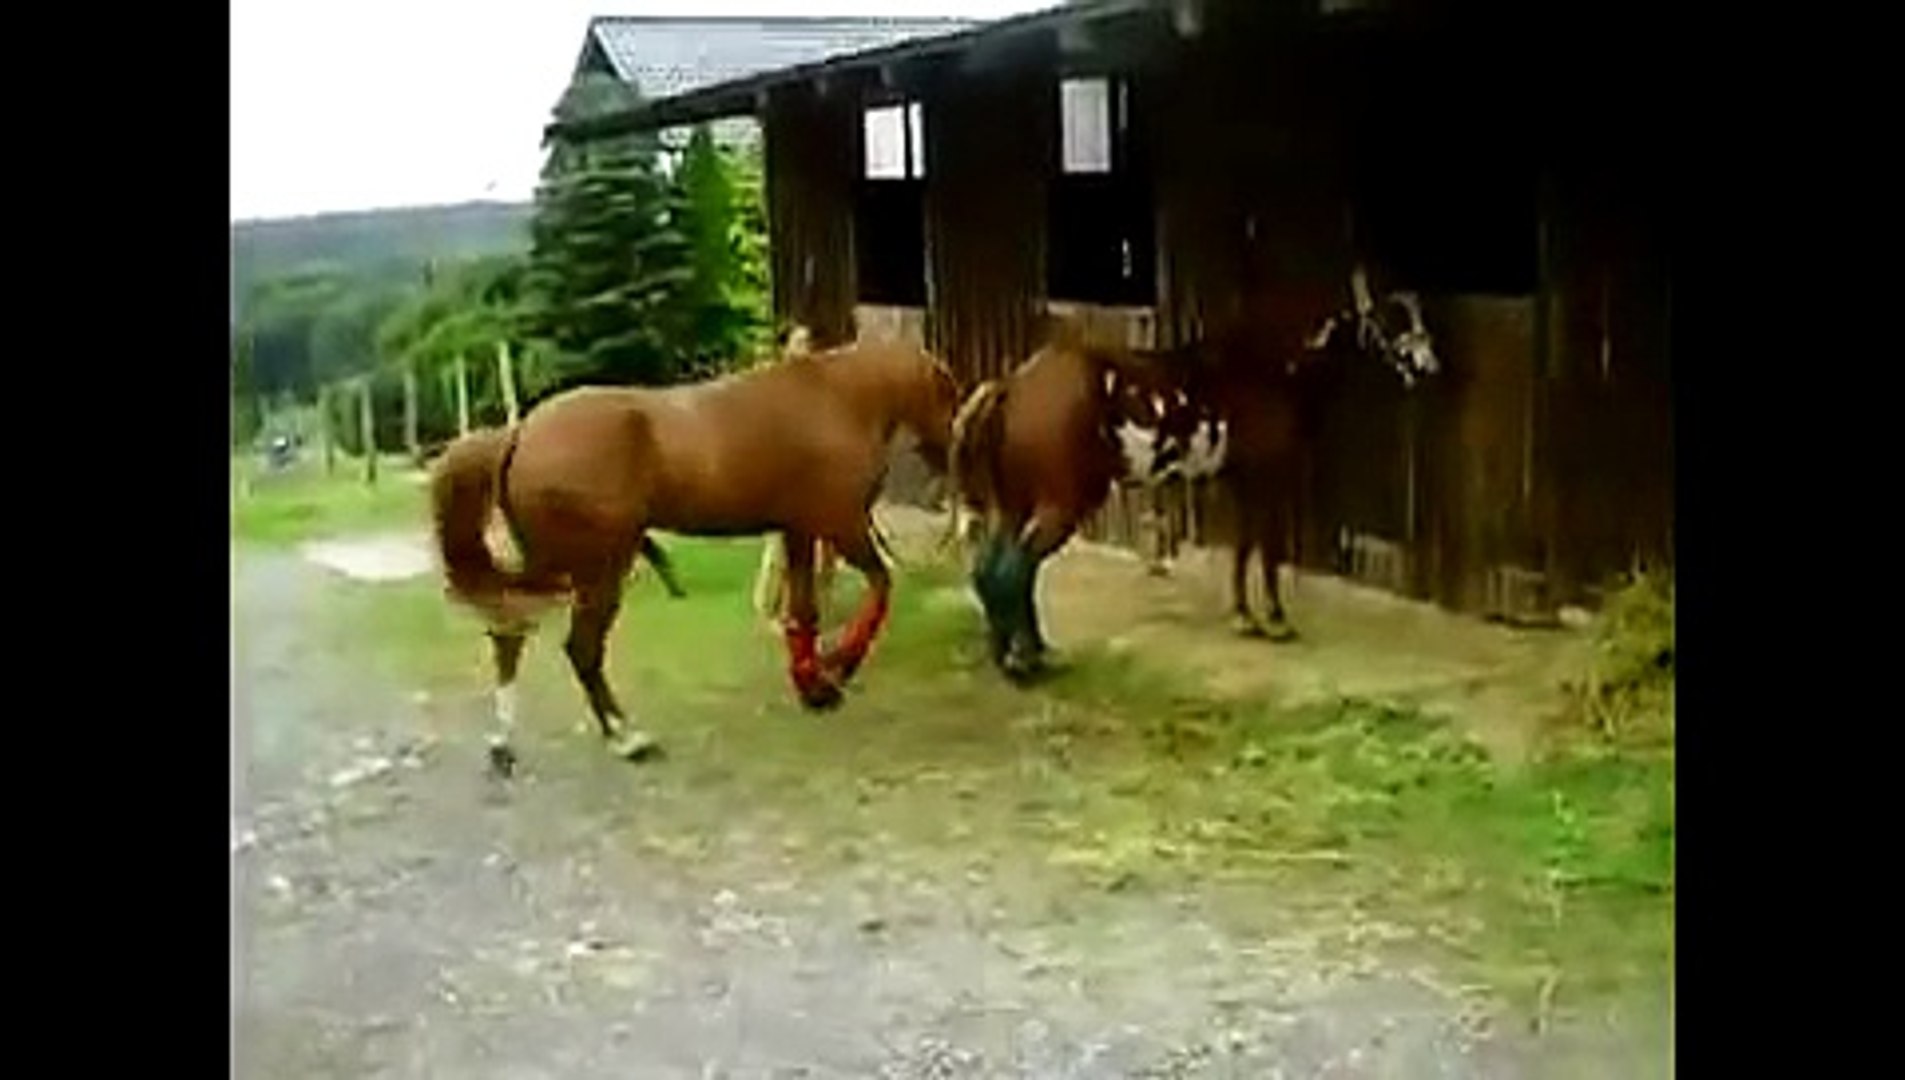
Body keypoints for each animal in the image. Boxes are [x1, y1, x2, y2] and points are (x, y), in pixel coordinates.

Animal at [429, 339, 962, 777]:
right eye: (950, 396)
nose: (950, 462)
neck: (837, 398)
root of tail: (519, 433)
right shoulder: (843, 526)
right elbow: (880, 588)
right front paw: (840, 667)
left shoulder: (798, 532)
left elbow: (803, 615)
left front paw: (815, 686)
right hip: (597, 570)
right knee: (580, 649)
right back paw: (628, 740)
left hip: (554, 567)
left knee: (510, 631)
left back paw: (504, 745)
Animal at [947, 321, 1188, 681]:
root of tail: (1012, 388)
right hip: (1059, 505)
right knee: (1014, 568)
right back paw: (1025, 661)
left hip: (1014, 506)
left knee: (993, 567)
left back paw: (1016, 653)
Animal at [1150, 264, 1440, 639]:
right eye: (1388, 318)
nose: (1427, 366)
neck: (1278, 375)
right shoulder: (1266, 474)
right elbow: (1264, 541)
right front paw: (1267, 616)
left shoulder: (1255, 477)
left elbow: (1251, 541)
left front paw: (1250, 613)